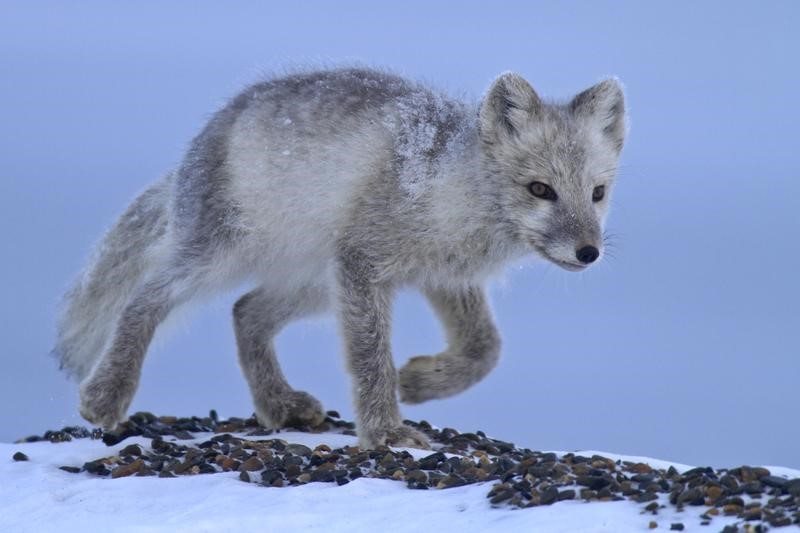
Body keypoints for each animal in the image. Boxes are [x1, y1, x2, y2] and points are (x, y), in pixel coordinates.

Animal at [54, 67, 624, 448]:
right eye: (540, 189)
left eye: (597, 194)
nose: (589, 252)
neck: (450, 183)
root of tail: (192, 153)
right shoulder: (364, 264)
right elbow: (371, 358)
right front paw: (387, 432)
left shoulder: (444, 275)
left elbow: (486, 348)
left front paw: (418, 382)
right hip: (221, 256)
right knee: (146, 298)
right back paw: (106, 396)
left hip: (315, 285)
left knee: (245, 312)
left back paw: (279, 405)